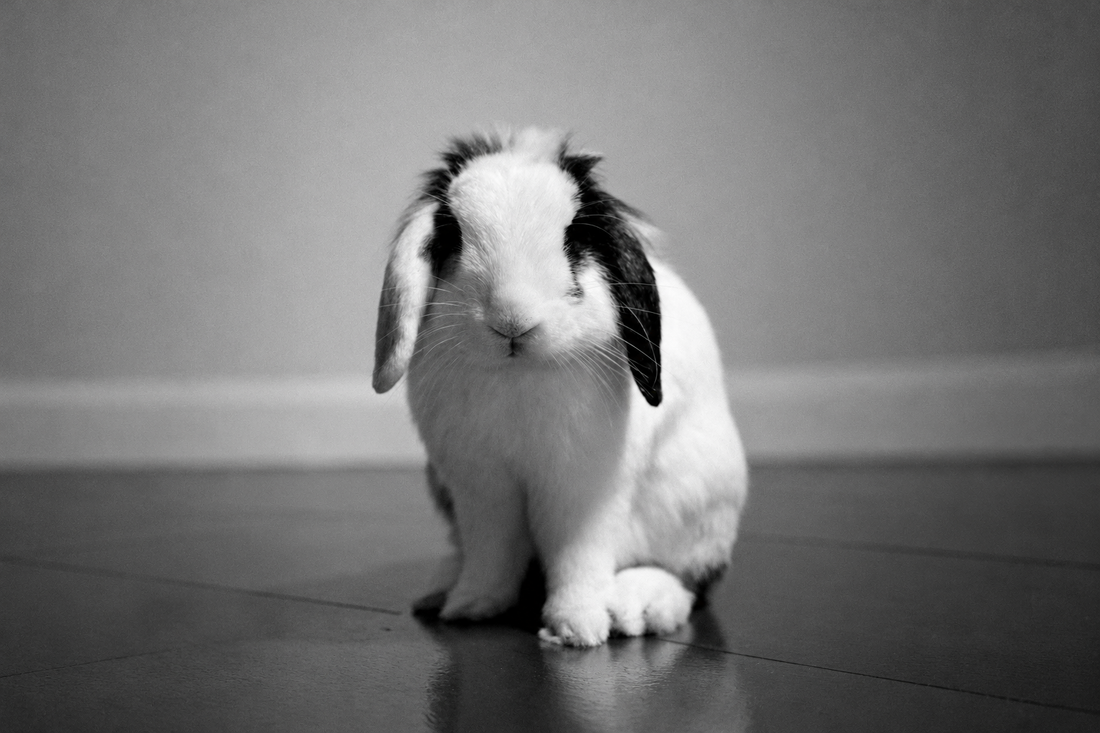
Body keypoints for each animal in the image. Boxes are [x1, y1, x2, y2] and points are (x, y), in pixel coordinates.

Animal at [373, 127, 747, 647]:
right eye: (454, 237)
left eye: (574, 239)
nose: (512, 321)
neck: (518, 375)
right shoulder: (481, 487)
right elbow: (492, 552)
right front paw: (471, 607)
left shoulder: (584, 489)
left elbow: (577, 558)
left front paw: (577, 628)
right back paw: (439, 593)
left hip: (698, 506)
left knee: (691, 577)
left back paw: (638, 607)